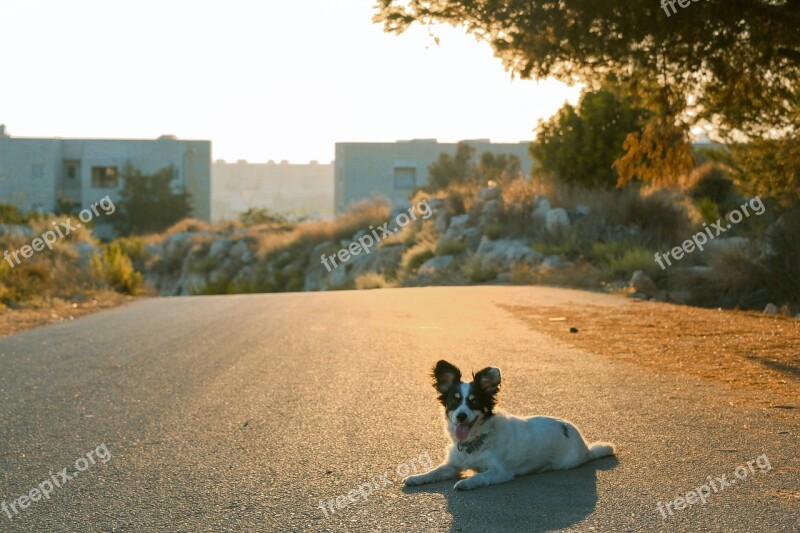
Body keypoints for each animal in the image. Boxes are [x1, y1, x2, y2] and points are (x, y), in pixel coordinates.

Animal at [404, 358, 616, 490]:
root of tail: (585, 446)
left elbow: (479, 476)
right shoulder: (452, 465)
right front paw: (417, 477)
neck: (475, 441)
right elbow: (434, 471)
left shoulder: (500, 472)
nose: (461, 416)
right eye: (453, 402)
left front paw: (466, 483)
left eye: (474, 402)